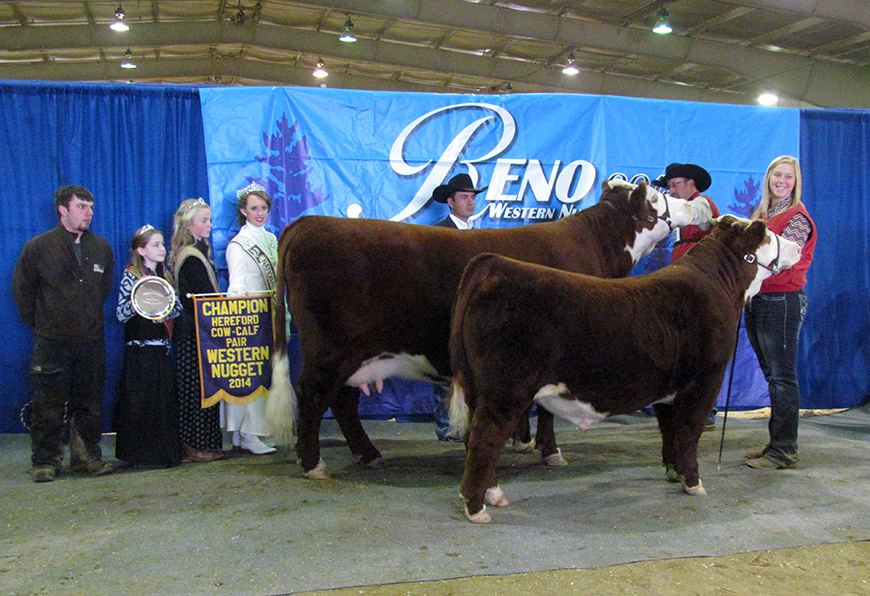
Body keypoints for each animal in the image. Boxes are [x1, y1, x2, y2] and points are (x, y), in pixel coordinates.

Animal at [268, 179, 696, 478]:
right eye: (656, 199)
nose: (690, 205)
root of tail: (307, 223)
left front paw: (523, 441)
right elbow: (548, 411)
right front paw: (550, 451)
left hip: (354, 355)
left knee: (343, 401)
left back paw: (368, 454)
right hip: (330, 350)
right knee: (313, 395)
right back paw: (313, 464)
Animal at [450, 217, 804, 524]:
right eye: (768, 236)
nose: (799, 247)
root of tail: (494, 264)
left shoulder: (668, 388)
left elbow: (669, 431)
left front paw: (673, 471)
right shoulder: (705, 380)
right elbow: (689, 432)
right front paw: (693, 482)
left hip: (479, 389)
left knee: (476, 440)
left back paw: (494, 494)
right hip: (505, 392)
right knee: (483, 438)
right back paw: (477, 508)